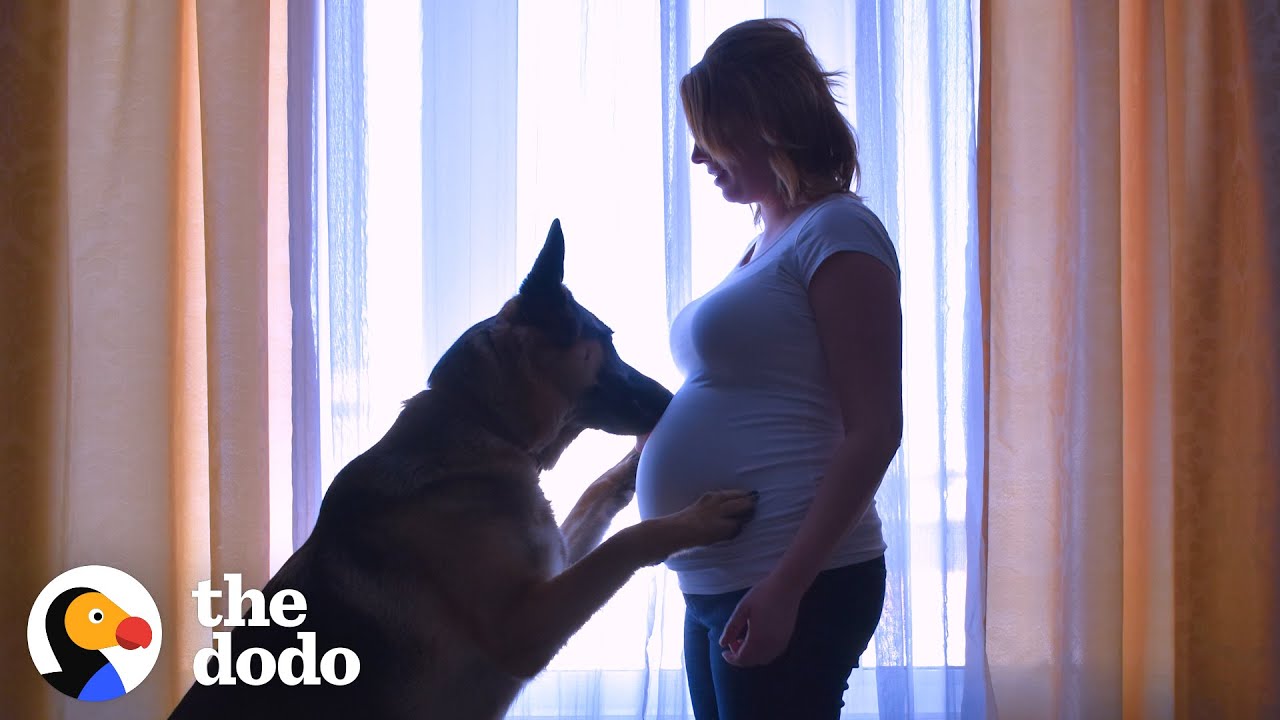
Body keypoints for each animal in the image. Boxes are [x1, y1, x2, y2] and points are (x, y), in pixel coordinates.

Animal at [165, 220, 752, 717]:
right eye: (607, 340)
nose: (671, 400)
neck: (479, 420)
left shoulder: (553, 566)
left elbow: (596, 491)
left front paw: (636, 461)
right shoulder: (526, 626)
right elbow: (625, 544)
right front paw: (697, 519)